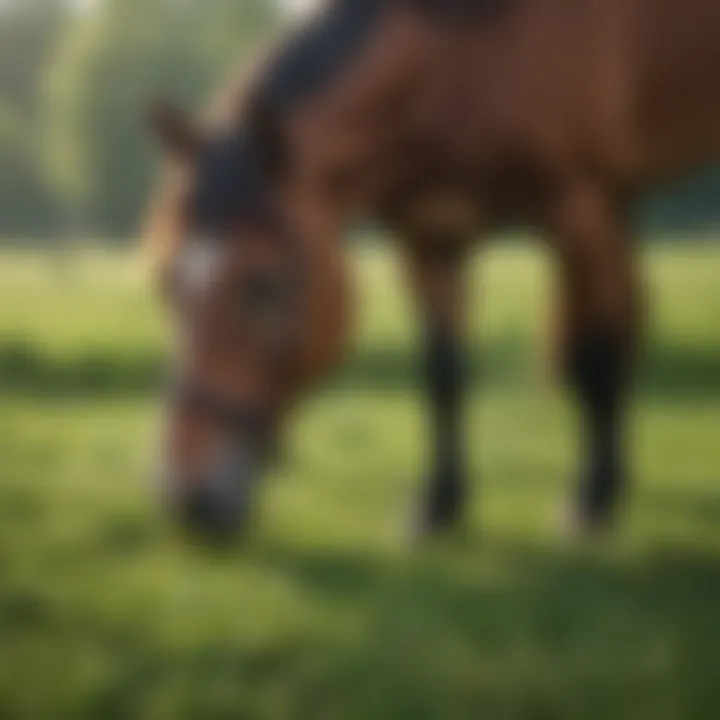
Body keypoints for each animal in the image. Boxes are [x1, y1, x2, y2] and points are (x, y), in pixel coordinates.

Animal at [145, 0, 720, 540]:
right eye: (169, 286)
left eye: (263, 284)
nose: (185, 498)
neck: (464, 58)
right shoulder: (432, 241)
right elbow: (444, 374)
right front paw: (439, 504)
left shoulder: (577, 208)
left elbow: (594, 356)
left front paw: (591, 500)